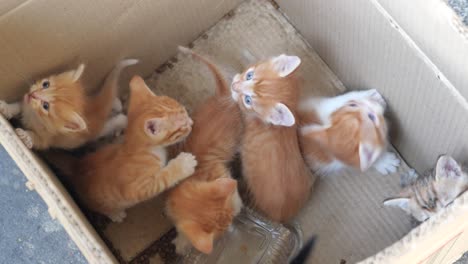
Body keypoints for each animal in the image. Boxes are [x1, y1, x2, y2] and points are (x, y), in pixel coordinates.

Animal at [0, 60, 137, 151]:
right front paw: (6, 108)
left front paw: (26, 136)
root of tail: (97, 105)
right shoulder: (26, 104)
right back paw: (117, 104)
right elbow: (18, 106)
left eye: (46, 106)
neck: (35, 116)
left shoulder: (48, 139)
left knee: (121, 119)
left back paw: (120, 128)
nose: (32, 94)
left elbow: (38, 141)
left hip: (100, 130)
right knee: (116, 103)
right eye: (45, 84)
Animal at [46, 75, 196, 222]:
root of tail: (77, 165)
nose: (192, 122)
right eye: (183, 127)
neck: (137, 147)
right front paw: (184, 164)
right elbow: (163, 179)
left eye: (185, 111)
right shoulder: (136, 188)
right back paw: (115, 214)